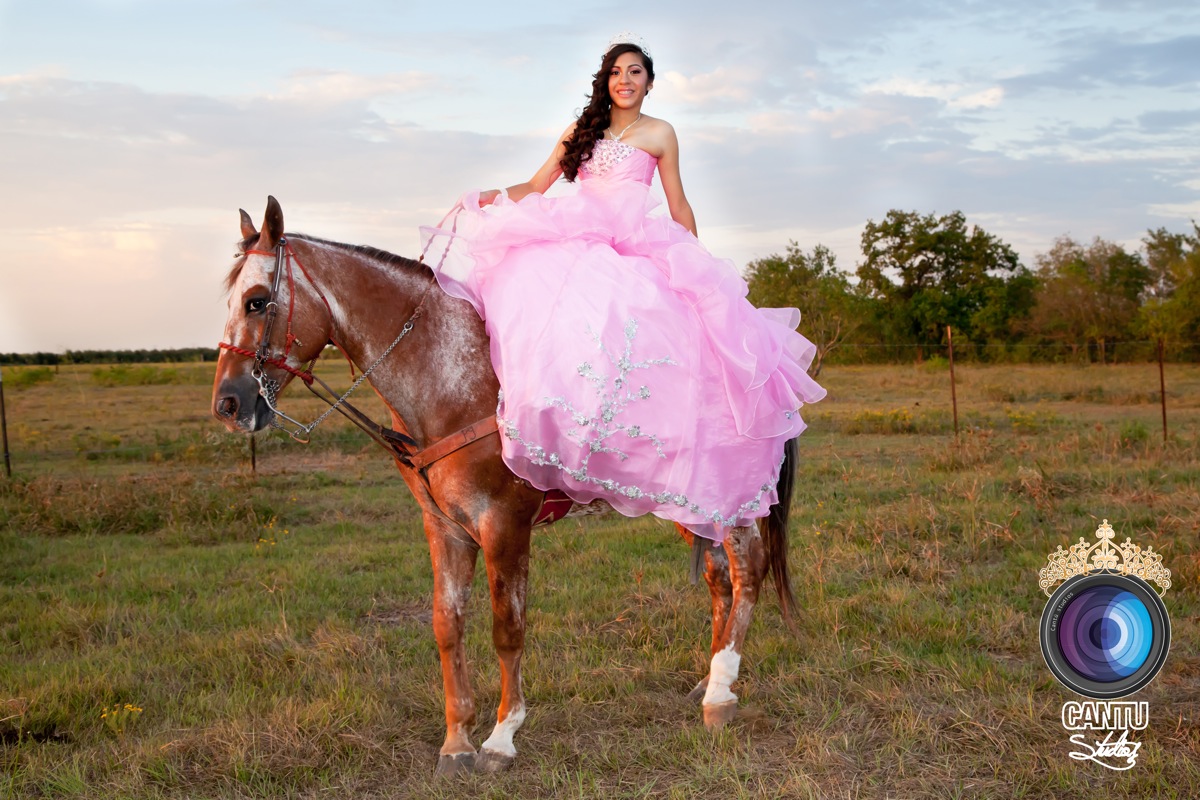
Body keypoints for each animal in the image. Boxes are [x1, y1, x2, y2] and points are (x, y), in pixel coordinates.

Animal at [212, 199, 801, 777]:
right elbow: (447, 624)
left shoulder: (505, 524)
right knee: (718, 577)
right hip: (687, 503)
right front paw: (455, 742)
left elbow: (506, 628)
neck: (455, 379)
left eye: (258, 302)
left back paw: (721, 694)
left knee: (748, 568)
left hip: (735, 501)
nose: (228, 404)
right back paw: (708, 677)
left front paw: (501, 738)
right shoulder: (444, 527)